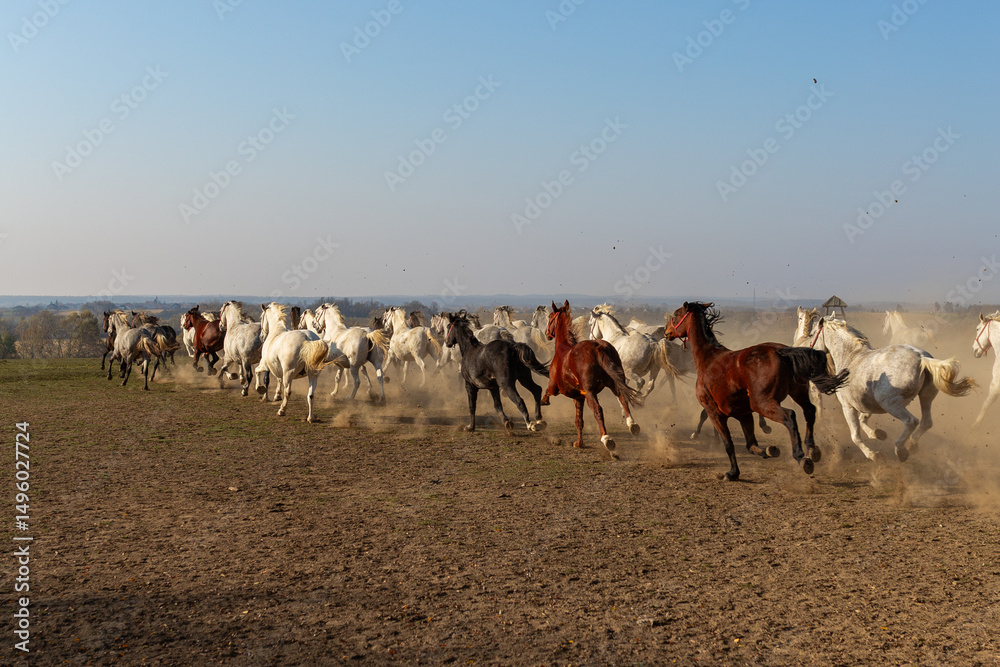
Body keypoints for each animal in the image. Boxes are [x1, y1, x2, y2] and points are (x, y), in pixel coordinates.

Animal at [541, 301, 642, 457]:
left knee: (598, 409)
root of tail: (598, 346)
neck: (562, 349)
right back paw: (632, 425)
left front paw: (542, 408)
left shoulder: (555, 387)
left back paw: (607, 439)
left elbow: (546, 392)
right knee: (623, 398)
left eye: (550, 316)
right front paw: (579, 443)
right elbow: (578, 420)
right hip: (614, 383)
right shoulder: (578, 397)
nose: (546, 334)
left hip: (590, 392)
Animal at [665, 302, 849, 481]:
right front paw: (769, 451)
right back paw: (812, 448)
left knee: (790, 416)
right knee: (809, 410)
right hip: (797, 392)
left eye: (676, 314)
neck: (708, 358)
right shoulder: (744, 414)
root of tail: (781, 351)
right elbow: (750, 445)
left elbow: (729, 445)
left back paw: (801, 456)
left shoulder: (714, 413)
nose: (667, 331)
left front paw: (732, 473)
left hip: (762, 403)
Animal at [811, 317, 975, 462]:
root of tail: (921, 357)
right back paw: (912, 445)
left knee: (911, 421)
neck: (851, 357)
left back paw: (900, 450)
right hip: (926, 396)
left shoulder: (848, 407)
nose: (811, 350)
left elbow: (855, 436)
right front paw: (878, 434)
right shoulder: (866, 404)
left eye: (812, 333)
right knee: (926, 422)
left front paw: (874, 455)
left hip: (891, 403)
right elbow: (863, 420)